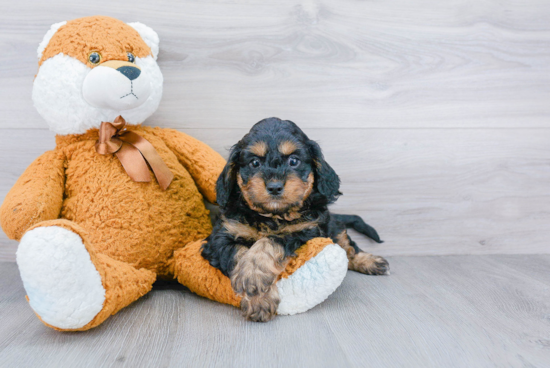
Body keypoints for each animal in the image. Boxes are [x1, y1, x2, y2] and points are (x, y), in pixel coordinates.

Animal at [202, 118, 388, 322]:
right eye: (254, 162)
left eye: (293, 161)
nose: (274, 187)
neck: (272, 216)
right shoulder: (220, 238)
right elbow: (239, 252)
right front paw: (257, 294)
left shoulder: (304, 230)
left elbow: (270, 240)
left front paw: (253, 274)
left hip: (331, 226)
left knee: (348, 248)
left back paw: (371, 261)